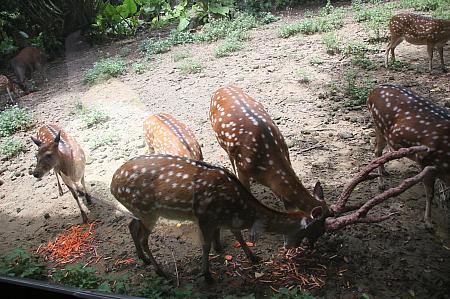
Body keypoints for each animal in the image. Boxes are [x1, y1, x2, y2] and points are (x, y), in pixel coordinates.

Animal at [110, 155, 326, 284]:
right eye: (314, 230)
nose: (311, 248)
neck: (239, 208)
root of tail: (113, 185)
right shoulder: (206, 217)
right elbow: (205, 246)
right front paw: (207, 275)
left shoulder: (223, 219)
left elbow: (237, 235)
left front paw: (253, 257)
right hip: (148, 210)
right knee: (144, 238)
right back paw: (162, 272)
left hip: (141, 211)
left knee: (131, 224)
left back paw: (143, 259)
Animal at [368, 84, 448, 230]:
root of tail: (373, 91)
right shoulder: (427, 162)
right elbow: (430, 194)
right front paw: (428, 223)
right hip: (379, 125)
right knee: (377, 151)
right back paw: (381, 183)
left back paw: (384, 172)